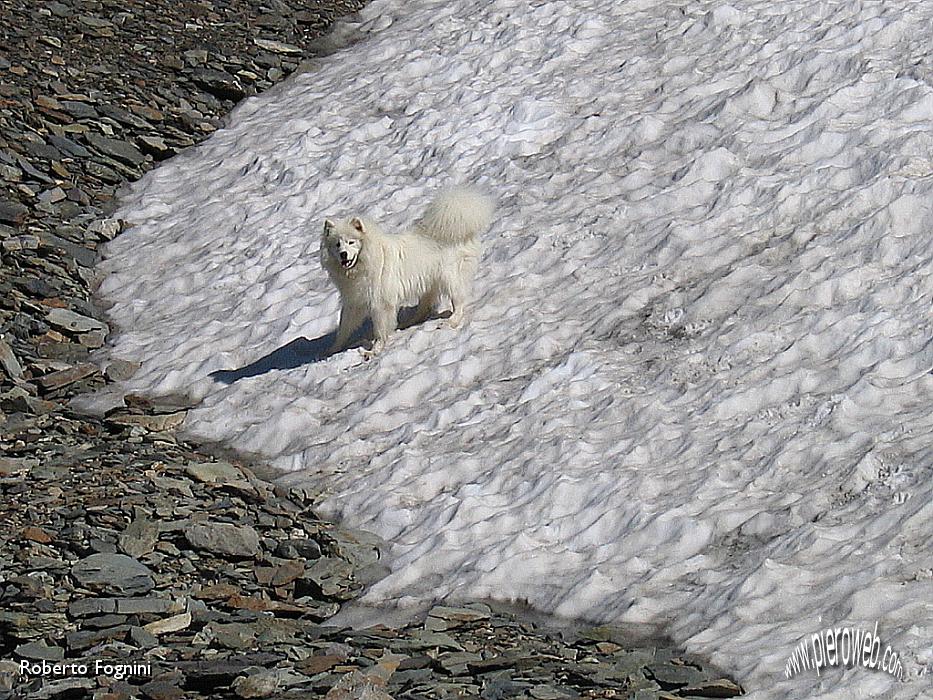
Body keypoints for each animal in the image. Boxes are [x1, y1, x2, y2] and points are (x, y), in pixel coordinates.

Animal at [322, 186, 496, 356]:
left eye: (351, 242)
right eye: (337, 244)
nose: (343, 254)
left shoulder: (380, 304)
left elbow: (380, 330)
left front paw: (374, 351)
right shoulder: (355, 301)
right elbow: (344, 328)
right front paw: (331, 351)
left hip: (449, 277)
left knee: (458, 302)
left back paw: (451, 321)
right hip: (429, 280)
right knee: (425, 306)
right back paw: (409, 322)